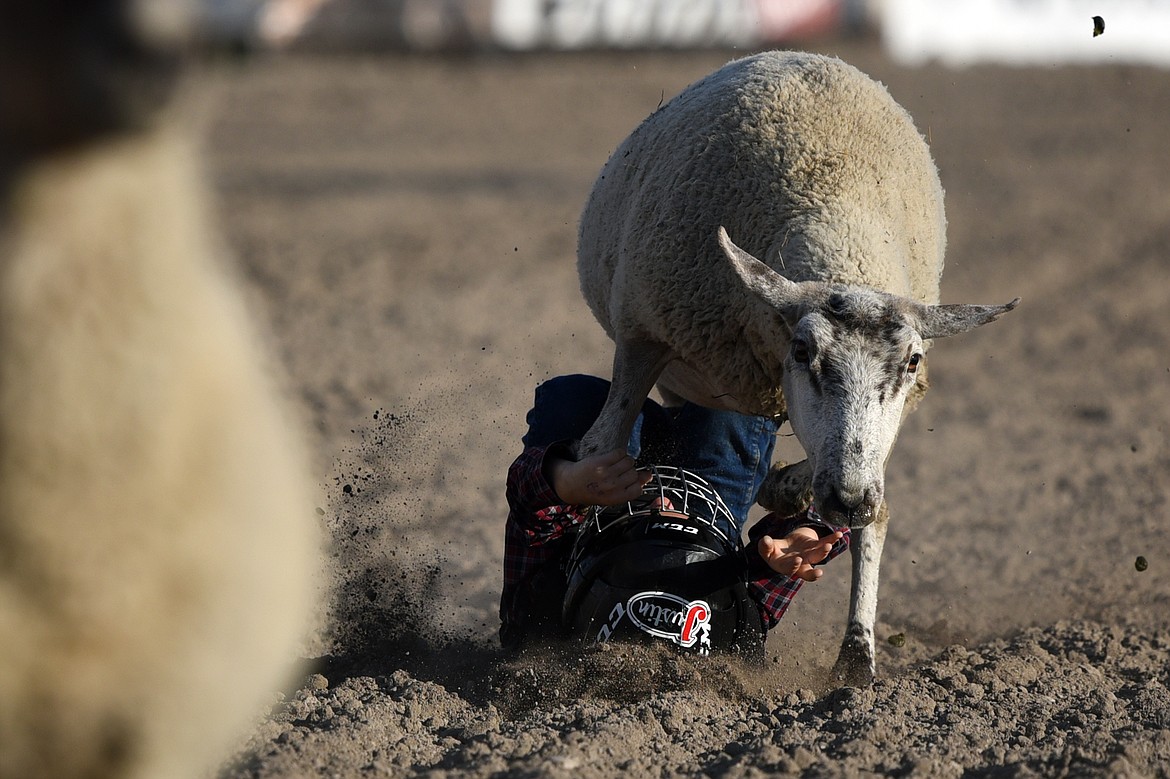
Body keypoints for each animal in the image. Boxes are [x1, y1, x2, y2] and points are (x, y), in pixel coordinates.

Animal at [575, 51, 1015, 687]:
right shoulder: (642, 337)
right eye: (804, 351)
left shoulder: (882, 432)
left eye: (912, 362)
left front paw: (856, 657)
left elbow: (869, 508)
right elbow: (600, 448)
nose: (848, 498)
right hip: (686, 372)